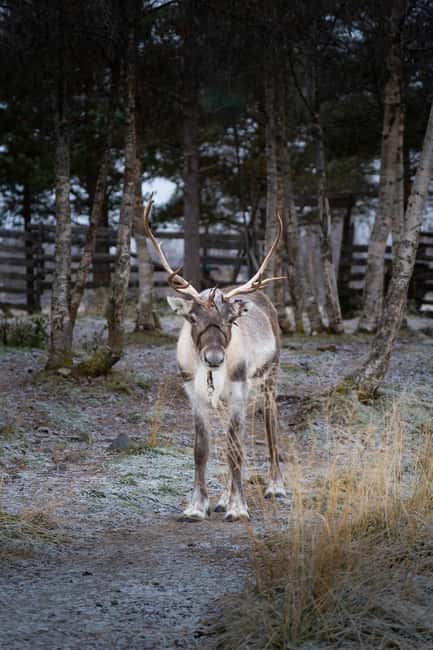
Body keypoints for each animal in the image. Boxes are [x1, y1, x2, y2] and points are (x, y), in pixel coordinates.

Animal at [144, 197, 286, 522]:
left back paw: (275, 486)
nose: (214, 358)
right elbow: (203, 448)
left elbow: (235, 448)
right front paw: (198, 506)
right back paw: (222, 498)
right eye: (192, 318)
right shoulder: (193, 393)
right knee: (234, 438)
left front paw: (238, 508)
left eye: (230, 319)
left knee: (269, 426)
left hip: (269, 376)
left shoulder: (238, 390)